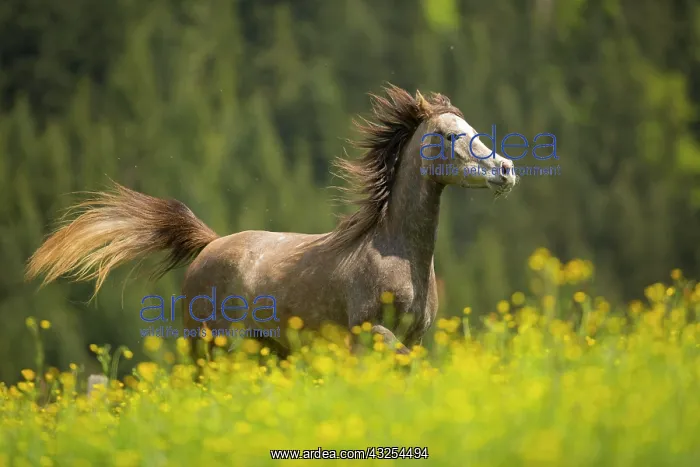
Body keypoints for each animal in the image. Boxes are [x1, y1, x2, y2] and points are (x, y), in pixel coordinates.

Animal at [25, 84, 518, 360]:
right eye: (451, 136)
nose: (506, 169)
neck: (394, 251)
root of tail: (210, 243)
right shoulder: (370, 333)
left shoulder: (412, 337)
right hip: (207, 343)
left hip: (268, 347)